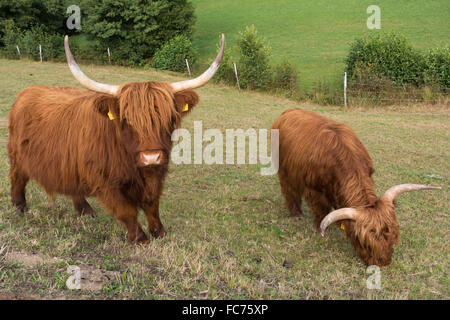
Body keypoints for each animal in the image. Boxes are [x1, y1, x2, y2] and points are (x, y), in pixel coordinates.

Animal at [7, 35, 225, 244]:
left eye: (169, 118)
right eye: (127, 120)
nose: (151, 157)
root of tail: (27, 91)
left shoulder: (157, 173)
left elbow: (152, 204)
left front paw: (159, 232)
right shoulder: (105, 181)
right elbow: (125, 210)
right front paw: (140, 238)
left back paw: (85, 210)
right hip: (17, 154)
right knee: (17, 176)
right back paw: (20, 206)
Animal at [270, 109, 440, 266]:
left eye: (394, 235)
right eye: (362, 241)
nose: (383, 263)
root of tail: (288, 112)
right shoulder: (314, 191)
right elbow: (321, 210)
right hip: (284, 170)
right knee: (289, 190)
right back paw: (296, 213)